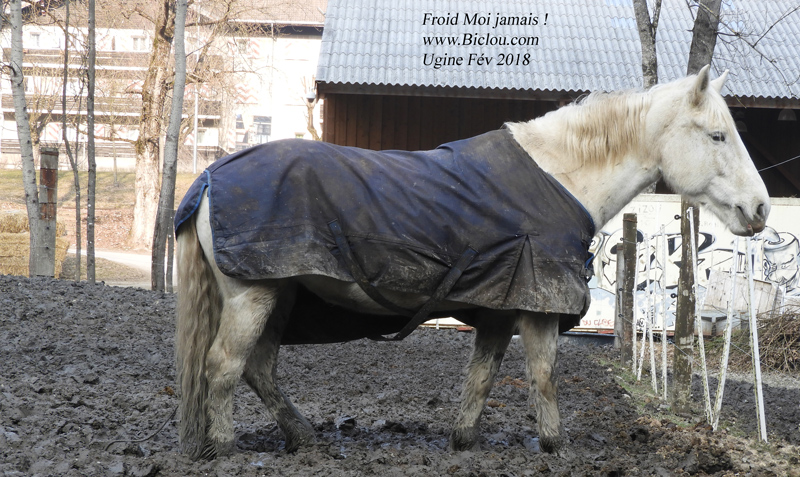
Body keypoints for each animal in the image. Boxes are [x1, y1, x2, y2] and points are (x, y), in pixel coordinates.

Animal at [173, 66, 769, 460]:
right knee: (224, 366)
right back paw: (225, 446)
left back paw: (301, 437)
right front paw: (555, 445)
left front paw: (463, 439)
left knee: (258, 367)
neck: (560, 177)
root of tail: (208, 179)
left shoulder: (501, 310)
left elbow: (481, 378)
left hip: (282, 293)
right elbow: (544, 377)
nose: (760, 209)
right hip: (253, 293)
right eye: (718, 135)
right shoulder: (537, 309)